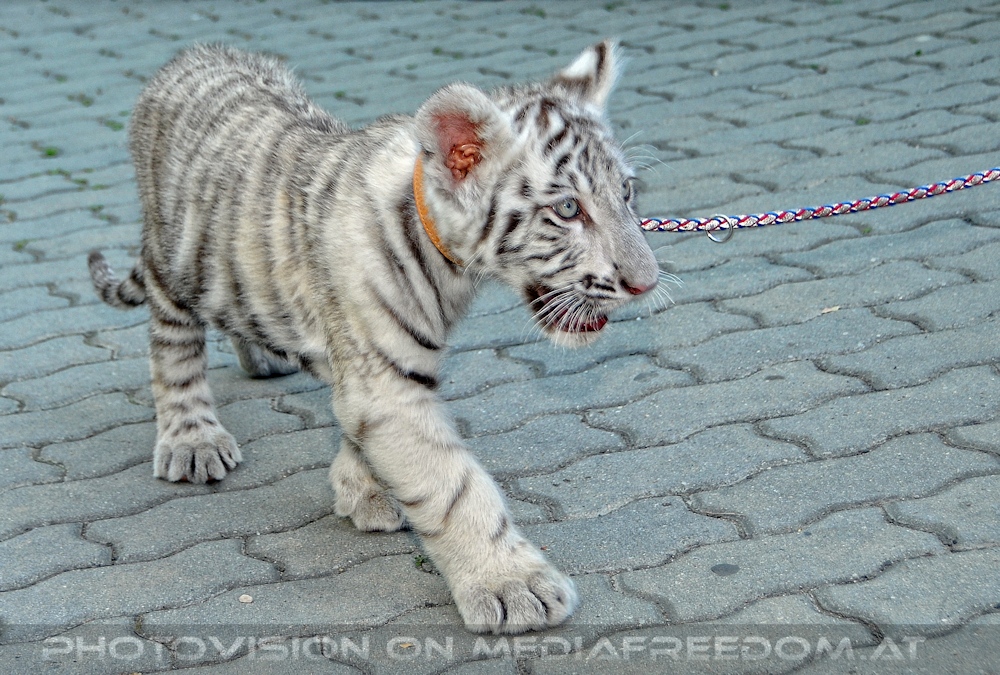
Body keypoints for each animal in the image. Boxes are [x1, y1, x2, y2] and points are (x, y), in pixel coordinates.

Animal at [88, 41, 660, 634]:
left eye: (626, 192)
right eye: (567, 209)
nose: (646, 283)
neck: (449, 263)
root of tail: (192, 54)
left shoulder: (378, 371)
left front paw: (361, 487)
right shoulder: (387, 385)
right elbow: (454, 486)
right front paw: (512, 585)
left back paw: (264, 357)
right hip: (174, 259)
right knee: (173, 345)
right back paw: (192, 440)